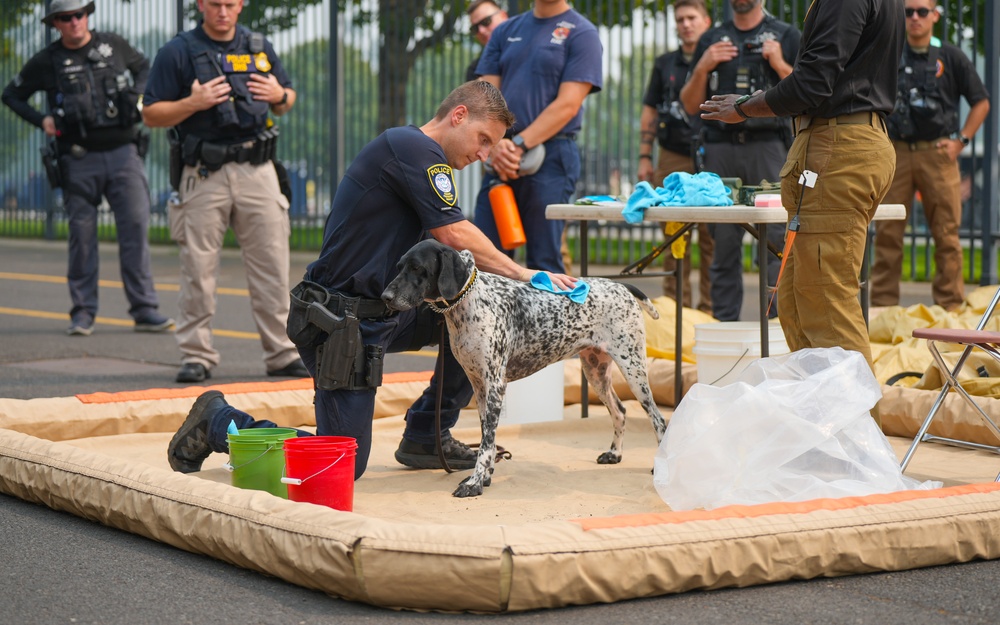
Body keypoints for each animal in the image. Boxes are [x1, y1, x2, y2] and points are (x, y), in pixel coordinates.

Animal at [378, 239, 668, 498]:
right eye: (400, 266)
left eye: (417, 268)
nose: (385, 297)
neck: (470, 304)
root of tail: (619, 284)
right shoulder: (479, 386)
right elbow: (487, 438)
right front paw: (485, 476)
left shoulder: (495, 385)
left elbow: (486, 445)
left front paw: (474, 483)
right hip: (595, 371)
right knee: (619, 411)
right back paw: (615, 454)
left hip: (633, 370)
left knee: (659, 420)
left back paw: (661, 467)